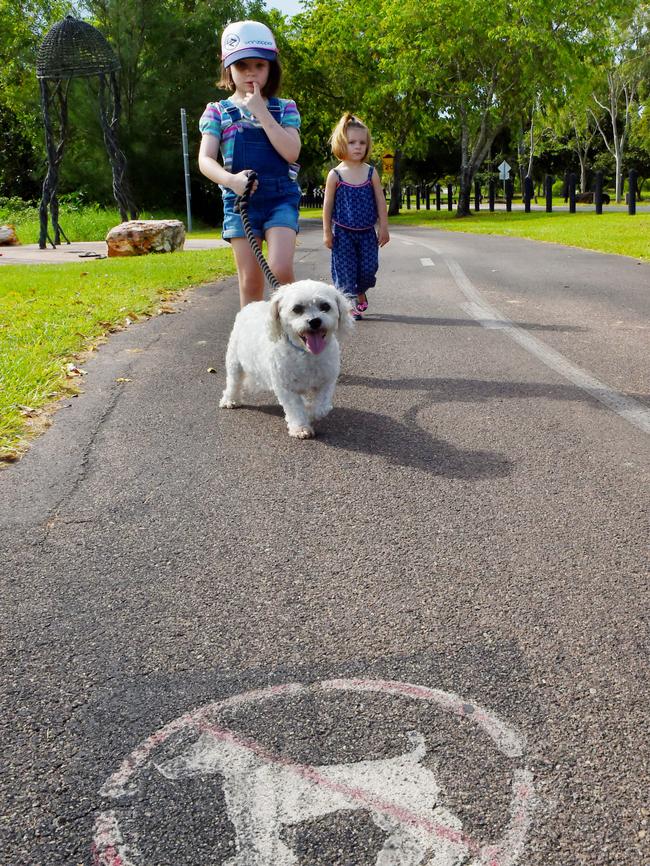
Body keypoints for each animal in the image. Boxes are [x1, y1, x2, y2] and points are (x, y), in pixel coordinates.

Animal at [218, 280, 352, 436]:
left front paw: (311, 412)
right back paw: (230, 400)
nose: (314, 321)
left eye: (325, 306)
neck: (306, 354)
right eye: (297, 309)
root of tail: (250, 305)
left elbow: (322, 406)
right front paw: (300, 427)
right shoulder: (285, 387)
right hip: (234, 363)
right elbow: (295, 409)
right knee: (233, 382)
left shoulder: (327, 380)